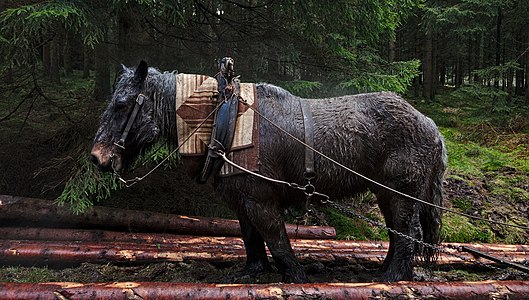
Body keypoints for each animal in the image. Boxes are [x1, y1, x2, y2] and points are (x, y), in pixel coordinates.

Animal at [91, 61, 446, 284]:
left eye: (121, 104)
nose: (97, 158)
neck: (223, 122)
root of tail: (431, 125)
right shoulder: (242, 199)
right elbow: (250, 237)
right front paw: (252, 271)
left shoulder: (261, 199)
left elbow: (277, 239)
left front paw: (295, 278)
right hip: (385, 193)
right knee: (396, 232)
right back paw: (384, 271)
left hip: (402, 193)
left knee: (408, 231)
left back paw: (393, 277)